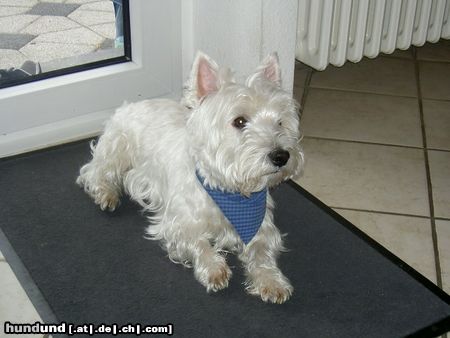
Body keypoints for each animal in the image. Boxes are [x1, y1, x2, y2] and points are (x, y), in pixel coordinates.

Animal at [77, 52, 304, 304]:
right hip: (117, 149)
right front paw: (214, 268)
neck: (230, 190)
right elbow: (198, 243)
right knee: (95, 171)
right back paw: (106, 194)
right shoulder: (177, 222)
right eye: (239, 121)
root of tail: (132, 103)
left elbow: (262, 251)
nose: (281, 156)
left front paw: (272, 281)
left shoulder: (261, 225)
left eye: (280, 121)